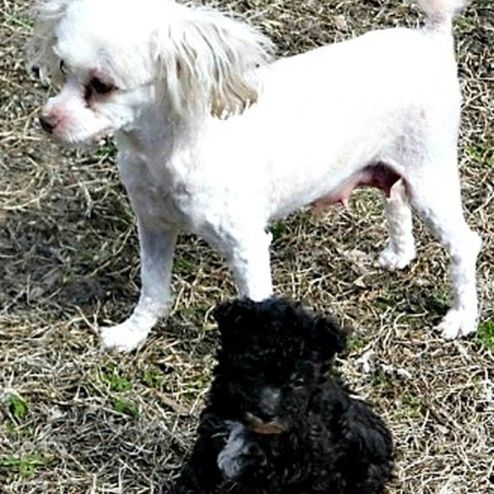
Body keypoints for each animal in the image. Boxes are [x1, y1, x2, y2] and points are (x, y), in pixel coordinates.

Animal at [27, 0, 478, 352]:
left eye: (102, 85)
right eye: (63, 67)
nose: (47, 120)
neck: (168, 150)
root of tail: (431, 38)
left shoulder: (246, 245)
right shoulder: (154, 225)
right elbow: (152, 287)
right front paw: (133, 333)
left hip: (429, 175)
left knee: (463, 243)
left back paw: (462, 316)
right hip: (397, 168)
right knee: (397, 200)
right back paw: (400, 254)